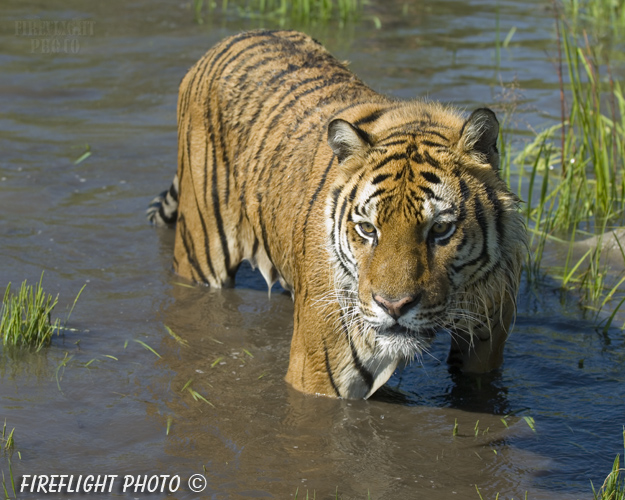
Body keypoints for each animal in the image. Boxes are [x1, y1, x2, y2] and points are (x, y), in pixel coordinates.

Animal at [147, 30, 528, 398]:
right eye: (368, 229)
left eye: (440, 229)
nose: (394, 307)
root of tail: (229, 40)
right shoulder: (318, 374)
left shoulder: (487, 342)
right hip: (200, 254)